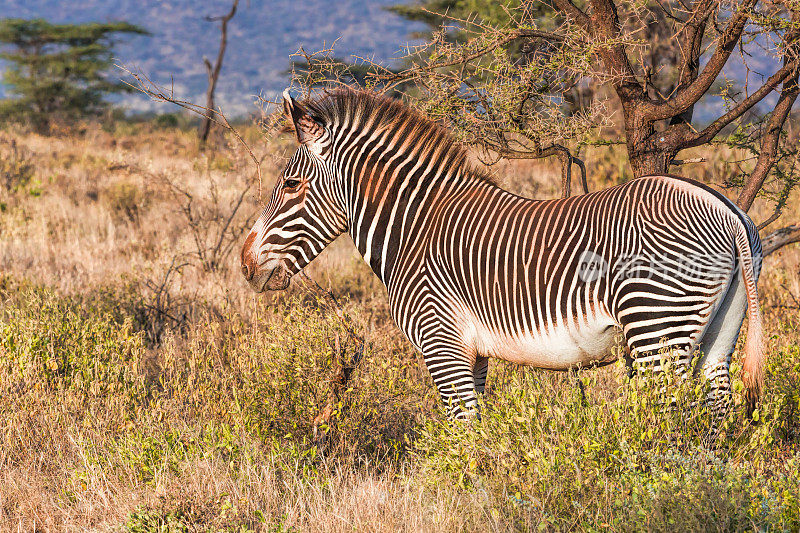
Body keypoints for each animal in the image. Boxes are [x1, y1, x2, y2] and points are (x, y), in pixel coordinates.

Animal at [241, 89, 764, 422]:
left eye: (291, 185)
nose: (245, 265)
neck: (414, 228)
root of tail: (725, 209)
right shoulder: (471, 354)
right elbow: (481, 429)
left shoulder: (440, 344)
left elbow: (464, 431)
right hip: (719, 334)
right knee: (715, 422)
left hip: (657, 330)